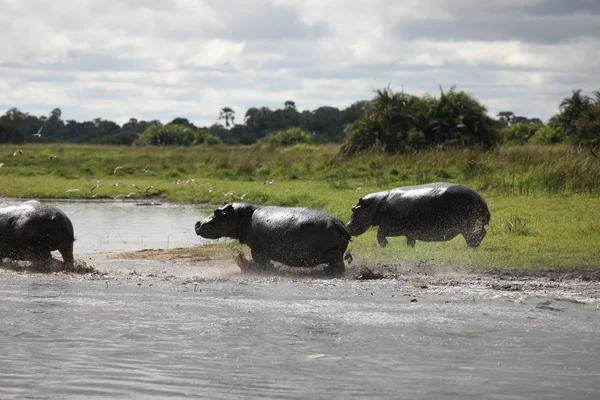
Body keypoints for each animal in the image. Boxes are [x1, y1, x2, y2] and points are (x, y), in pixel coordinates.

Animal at [196, 203, 352, 276]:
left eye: (217, 212)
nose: (197, 223)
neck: (242, 215)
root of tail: (337, 223)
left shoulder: (257, 250)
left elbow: (260, 261)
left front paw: (259, 271)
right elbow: (267, 261)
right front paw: (272, 269)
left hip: (316, 254)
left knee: (336, 257)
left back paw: (331, 273)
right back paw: (327, 271)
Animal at [344, 183, 490, 248]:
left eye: (353, 209)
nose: (346, 226)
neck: (376, 204)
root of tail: (481, 199)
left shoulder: (389, 227)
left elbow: (379, 235)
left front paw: (385, 245)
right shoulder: (410, 232)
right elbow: (410, 240)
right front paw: (410, 248)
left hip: (467, 223)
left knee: (477, 234)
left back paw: (471, 246)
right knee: (481, 233)